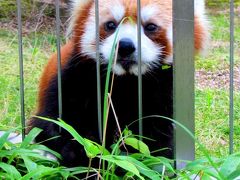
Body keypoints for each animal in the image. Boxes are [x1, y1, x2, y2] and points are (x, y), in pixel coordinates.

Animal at [28, 0, 208, 168]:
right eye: (111, 25)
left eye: (150, 27)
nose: (125, 45)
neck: (125, 81)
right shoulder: (73, 81)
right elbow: (55, 124)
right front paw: (83, 155)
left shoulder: (163, 93)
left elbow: (157, 138)